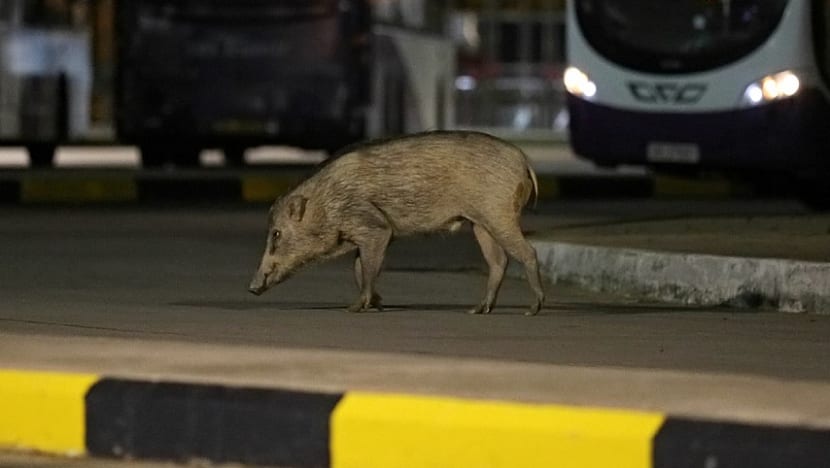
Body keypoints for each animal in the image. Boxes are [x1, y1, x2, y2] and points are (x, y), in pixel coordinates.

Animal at [248, 130, 545, 315]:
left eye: (276, 234)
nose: (252, 288)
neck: (326, 204)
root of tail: (524, 161)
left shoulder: (375, 227)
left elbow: (367, 268)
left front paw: (355, 308)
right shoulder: (365, 236)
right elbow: (359, 268)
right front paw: (378, 304)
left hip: (499, 214)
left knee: (528, 252)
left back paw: (533, 309)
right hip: (481, 223)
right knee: (498, 261)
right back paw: (477, 310)